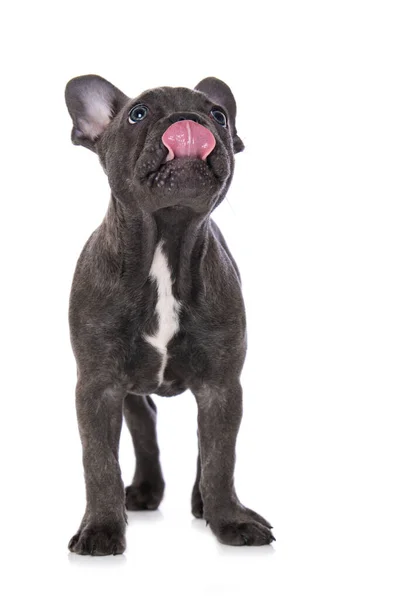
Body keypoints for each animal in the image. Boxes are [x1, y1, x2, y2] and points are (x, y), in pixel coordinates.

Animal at [65, 76, 276, 556]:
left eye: (218, 115)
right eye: (137, 114)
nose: (189, 120)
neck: (168, 239)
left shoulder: (221, 387)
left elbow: (220, 458)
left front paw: (230, 519)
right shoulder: (98, 387)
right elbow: (98, 462)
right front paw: (101, 528)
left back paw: (202, 503)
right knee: (144, 425)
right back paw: (144, 491)